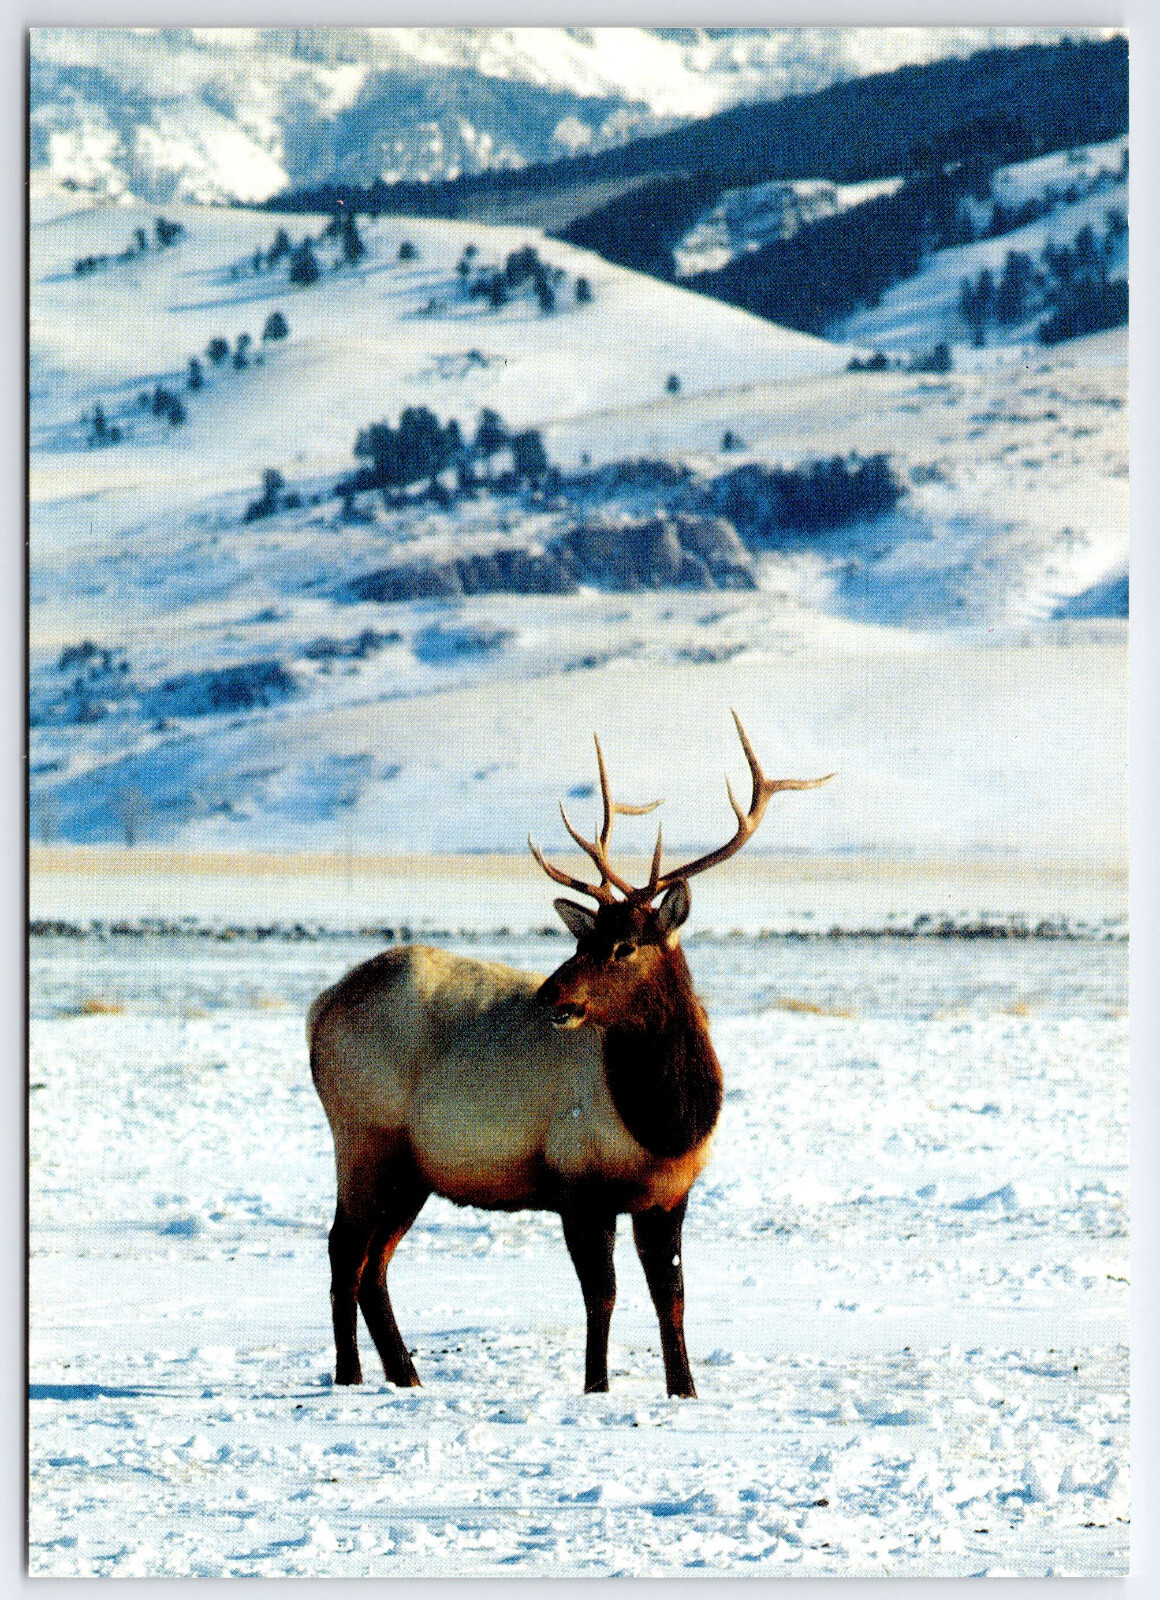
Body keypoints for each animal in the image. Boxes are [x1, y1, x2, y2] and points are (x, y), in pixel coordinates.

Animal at [307, 714, 831, 1396]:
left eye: (625, 945)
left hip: (414, 1169)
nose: (549, 996)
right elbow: (601, 1295)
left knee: (375, 1262)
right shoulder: (578, 1182)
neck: (667, 1119)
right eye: (584, 939)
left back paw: (406, 1378)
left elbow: (672, 1294)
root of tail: (320, 1007)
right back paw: (348, 1377)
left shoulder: (670, 1194)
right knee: (344, 1249)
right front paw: (596, 1387)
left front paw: (685, 1390)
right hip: (364, 1137)